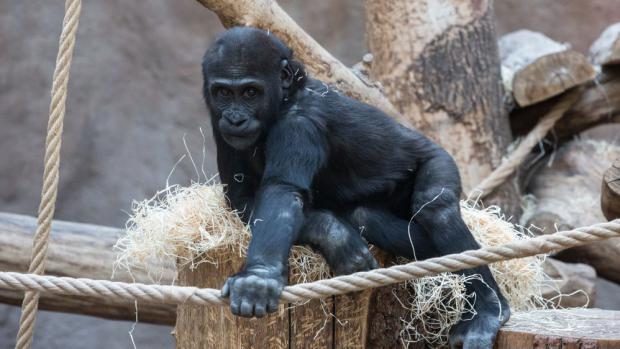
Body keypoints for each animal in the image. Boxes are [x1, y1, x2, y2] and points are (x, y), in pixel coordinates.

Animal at [202, 27, 508, 348]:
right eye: (224, 93)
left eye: (251, 92)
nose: (235, 118)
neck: (285, 99)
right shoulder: (219, 124)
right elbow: (244, 199)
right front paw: (334, 236)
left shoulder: (300, 124)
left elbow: (282, 192)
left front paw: (258, 279)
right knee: (366, 216)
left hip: (441, 159)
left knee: (436, 209)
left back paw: (488, 310)